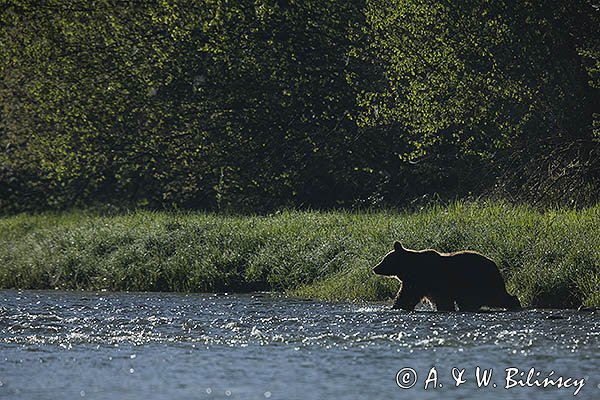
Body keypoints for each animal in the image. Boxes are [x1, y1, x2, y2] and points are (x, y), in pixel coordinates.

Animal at [376, 241, 520, 312]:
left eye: (384, 259)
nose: (375, 268)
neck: (408, 268)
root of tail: (494, 264)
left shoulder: (422, 279)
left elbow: (407, 296)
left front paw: (397, 306)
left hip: (479, 280)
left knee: (496, 296)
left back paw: (514, 304)